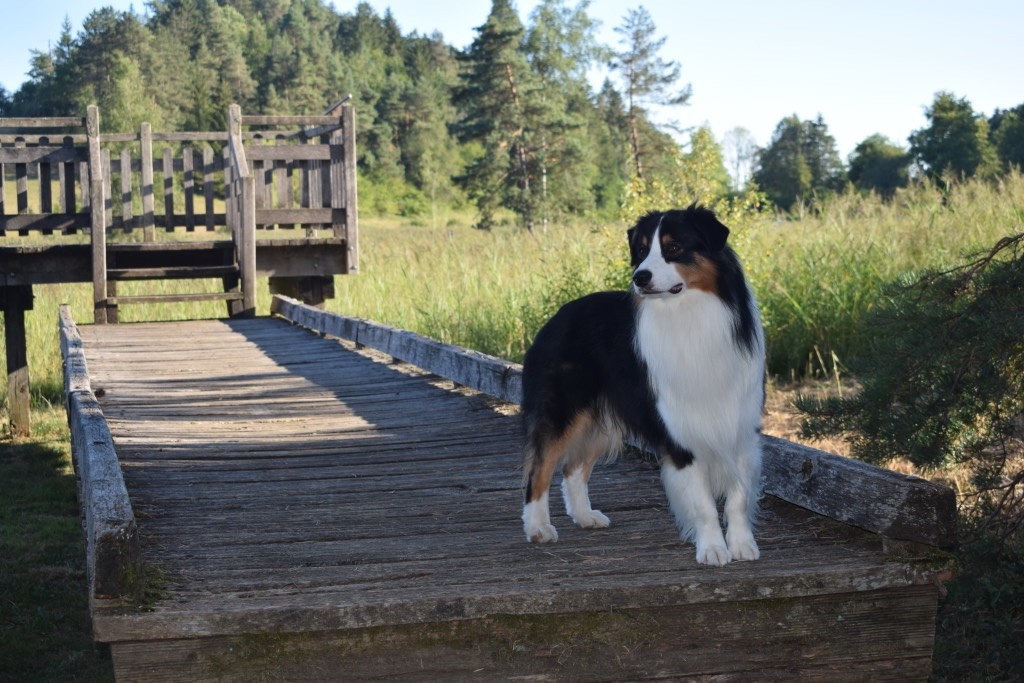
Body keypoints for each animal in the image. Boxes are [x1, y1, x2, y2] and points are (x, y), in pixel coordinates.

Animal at [524, 204, 765, 565]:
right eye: (640, 251)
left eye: (674, 247)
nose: (640, 277)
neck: (691, 315)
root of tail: (559, 314)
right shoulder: (680, 432)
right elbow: (703, 503)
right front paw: (712, 548)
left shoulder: (740, 427)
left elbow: (739, 495)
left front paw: (741, 544)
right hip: (563, 409)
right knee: (540, 466)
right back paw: (537, 527)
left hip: (600, 419)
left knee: (573, 467)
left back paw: (584, 516)